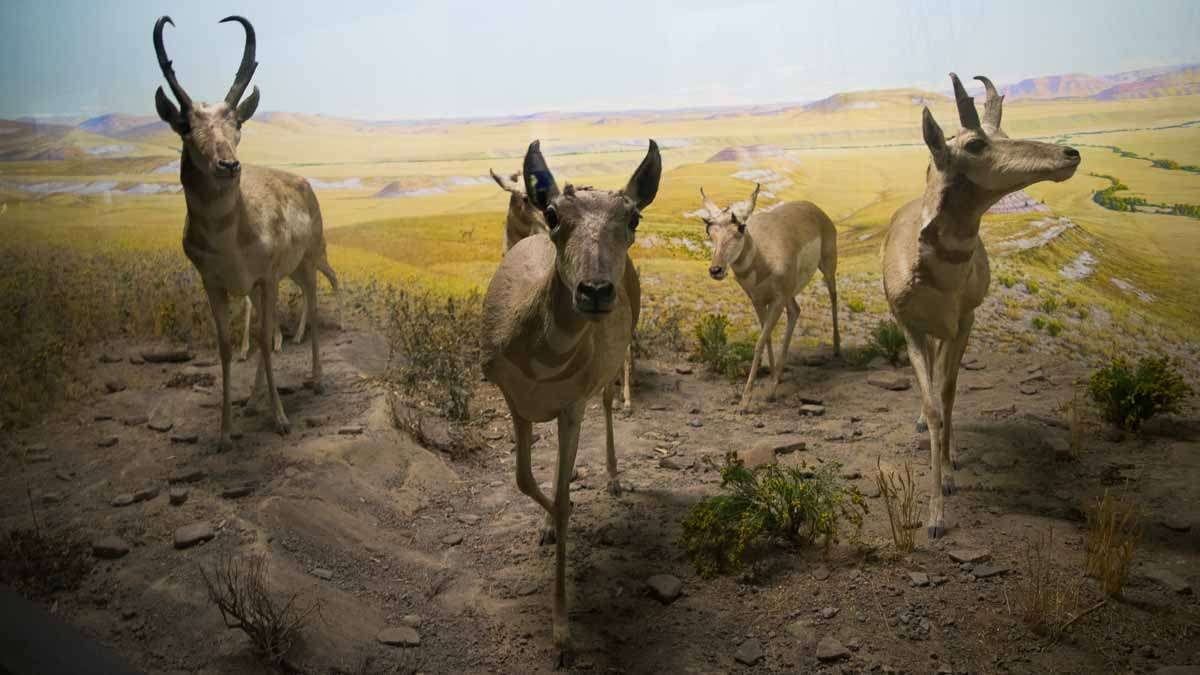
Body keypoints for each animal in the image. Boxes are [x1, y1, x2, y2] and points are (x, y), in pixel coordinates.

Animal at [153, 14, 338, 446]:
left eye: (236, 121)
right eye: (185, 125)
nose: (228, 164)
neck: (229, 239)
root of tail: (302, 183)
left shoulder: (266, 279)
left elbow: (268, 343)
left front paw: (281, 419)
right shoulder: (215, 284)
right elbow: (228, 347)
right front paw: (224, 433)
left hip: (305, 265)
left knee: (310, 307)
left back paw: (316, 380)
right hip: (266, 283)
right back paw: (253, 401)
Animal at [700, 181, 840, 408]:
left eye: (740, 228)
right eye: (709, 231)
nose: (716, 270)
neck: (762, 258)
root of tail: (814, 208)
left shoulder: (776, 301)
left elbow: (759, 342)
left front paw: (746, 400)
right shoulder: (758, 301)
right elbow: (765, 339)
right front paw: (772, 380)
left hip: (827, 267)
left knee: (833, 295)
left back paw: (837, 349)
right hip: (790, 293)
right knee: (796, 311)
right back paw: (779, 376)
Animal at [883, 72, 1080, 535]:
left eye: (1003, 135)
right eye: (974, 144)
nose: (1070, 153)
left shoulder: (964, 322)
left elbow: (949, 394)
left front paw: (949, 477)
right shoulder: (909, 325)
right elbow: (934, 403)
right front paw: (934, 517)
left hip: (949, 330)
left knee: (943, 379)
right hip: (927, 331)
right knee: (931, 384)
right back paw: (923, 423)